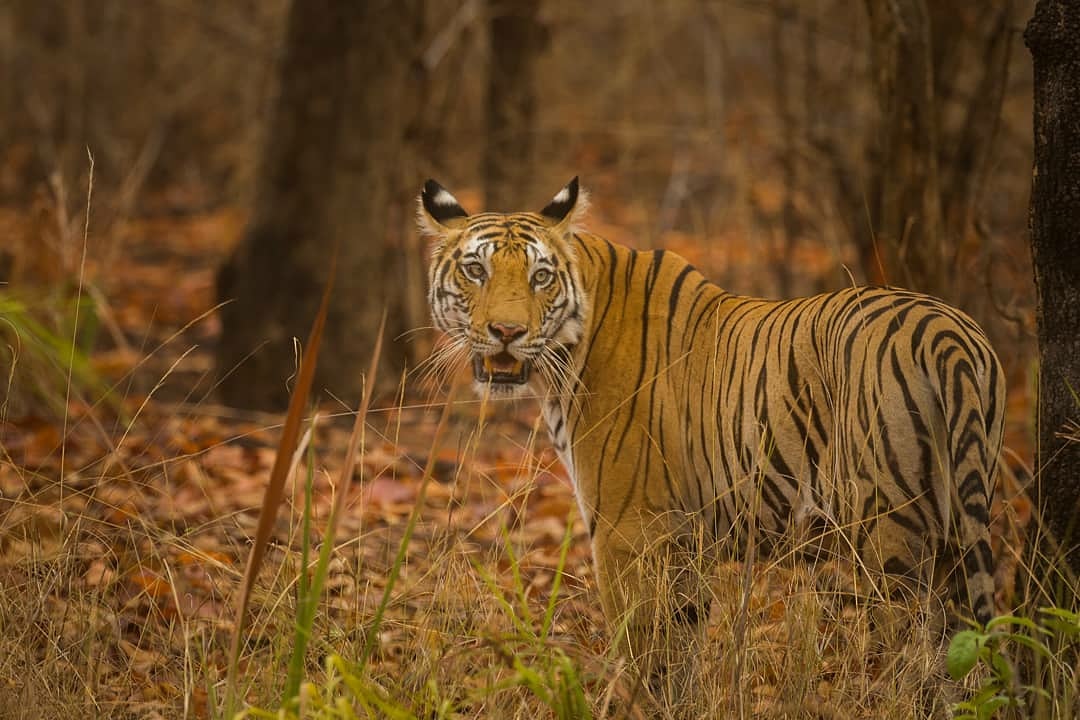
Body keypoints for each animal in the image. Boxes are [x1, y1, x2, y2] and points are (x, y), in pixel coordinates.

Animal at [414, 175, 1002, 703]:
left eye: (540, 277)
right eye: (476, 270)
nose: (507, 333)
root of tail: (947, 334)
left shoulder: (627, 531)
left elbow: (644, 646)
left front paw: (637, 704)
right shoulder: (683, 540)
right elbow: (683, 643)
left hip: (889, 534)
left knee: (913, 652)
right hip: (959, 527)